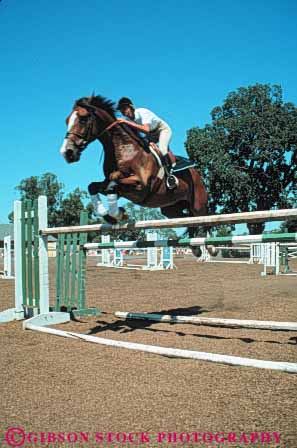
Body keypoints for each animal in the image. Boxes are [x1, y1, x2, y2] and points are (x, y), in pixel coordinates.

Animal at [59, 94, 209, 256]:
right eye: (66, 120)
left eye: (83, 119)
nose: (67, 153)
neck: (123, 149)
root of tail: (197, 175)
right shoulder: (113, 185)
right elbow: (94, 186)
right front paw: (111, 216)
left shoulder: (141, 186)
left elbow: (114, 182)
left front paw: (119, 214)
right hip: (171, 209)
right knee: (188, 220)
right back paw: (195, 247)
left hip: (198, 205)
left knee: (204, 220)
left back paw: (209, 247)